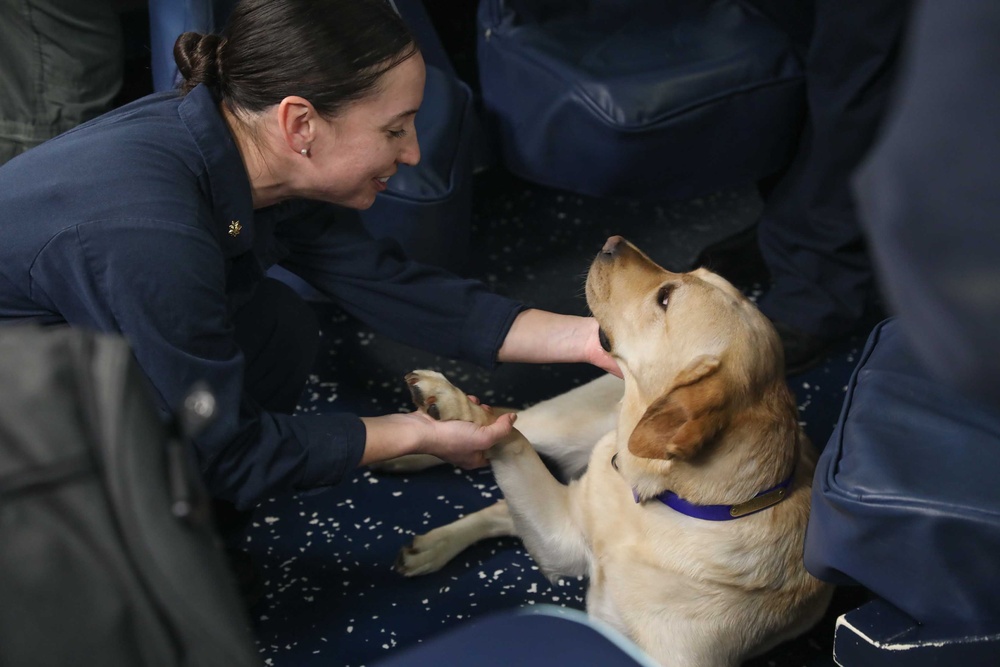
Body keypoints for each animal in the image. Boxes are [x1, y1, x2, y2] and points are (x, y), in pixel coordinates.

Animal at [394, 237, 832, 664]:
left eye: (665, 298)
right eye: (689, 273)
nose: (612, 241)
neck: (661, 498)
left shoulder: (560, 540)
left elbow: (508, 444)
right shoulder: (565, 528)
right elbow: (508, 437)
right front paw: (453, 404)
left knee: (505, 496)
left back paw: (431, 540)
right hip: (561, 425)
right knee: (515, 423)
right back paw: (414, 449)